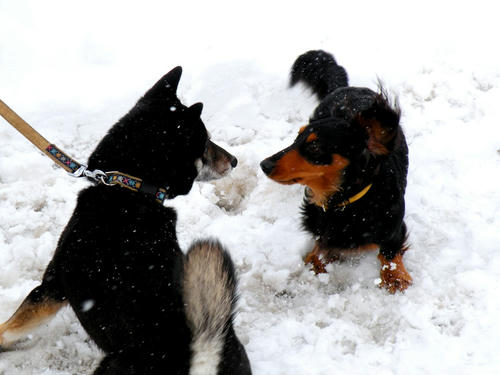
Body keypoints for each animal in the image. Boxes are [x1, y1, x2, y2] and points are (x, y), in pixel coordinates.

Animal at [0, 68, 250, 375]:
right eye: (205, 143)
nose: (235, 160)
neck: (131, 188)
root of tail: (200, 353)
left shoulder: (52, 285)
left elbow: (10, 328)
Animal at [260, 50, 412, 294]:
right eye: (297, 138)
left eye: (314, 146)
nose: (264, 165)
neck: (344, 204)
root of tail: (346, 88)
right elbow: (318, 249)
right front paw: (317, 262)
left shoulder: (395, 224)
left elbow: (388, 250)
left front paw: (395, 276)